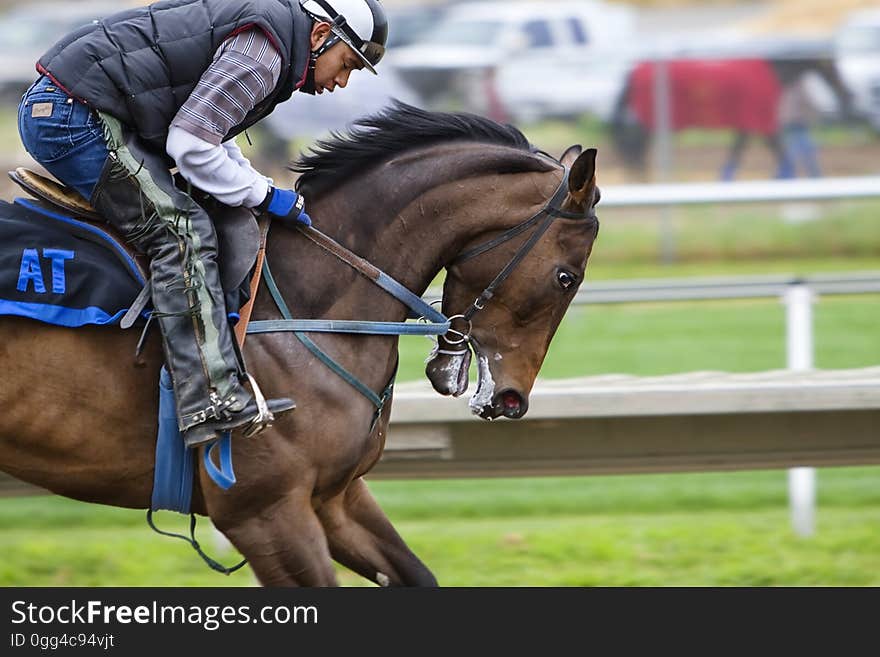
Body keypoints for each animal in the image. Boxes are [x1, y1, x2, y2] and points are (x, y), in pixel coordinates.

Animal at [0, 101, 600, 584]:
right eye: (566, 277)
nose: (511, 400)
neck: (307, 299)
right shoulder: (263, 512)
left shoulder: (335, 497)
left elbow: (417, 575)